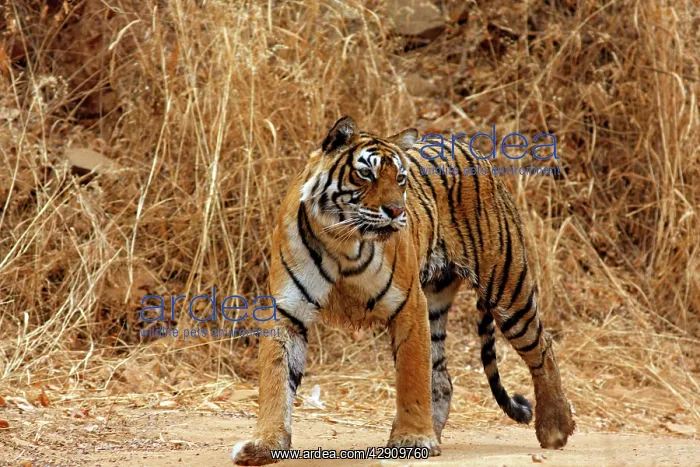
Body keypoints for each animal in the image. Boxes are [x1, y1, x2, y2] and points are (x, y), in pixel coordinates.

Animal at [232, 116, 576, 465]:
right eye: (366, 174)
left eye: (399, 178)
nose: (397, 211)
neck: (342, 242)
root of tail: (471, 149)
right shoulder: (287, 311)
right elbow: (276, 379)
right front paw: (264, 443)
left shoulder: (408, 304)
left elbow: (412, 376)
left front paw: (412, 439)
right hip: (437, 301)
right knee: (442, 379)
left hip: (506, 285)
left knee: (543, 347)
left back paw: (555, 428)